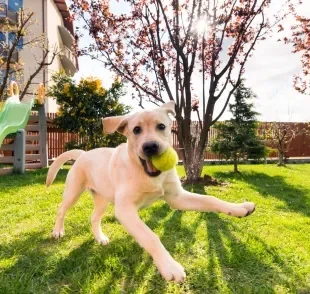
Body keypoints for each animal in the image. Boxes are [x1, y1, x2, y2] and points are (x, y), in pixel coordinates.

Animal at [46, 101, 254, 282]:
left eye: (161, 126)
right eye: (136, 130)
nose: (150, 147)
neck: (146, 173)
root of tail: (83, 153)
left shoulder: (177, 198)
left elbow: (211, 199)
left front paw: (240, 208)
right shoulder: (125, 209)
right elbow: (151, 237)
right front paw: (169, 266)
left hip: (102, 199)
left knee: (94, 217)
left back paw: (100, 238)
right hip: (73, 192)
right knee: (60, 210)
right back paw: (58, 231)